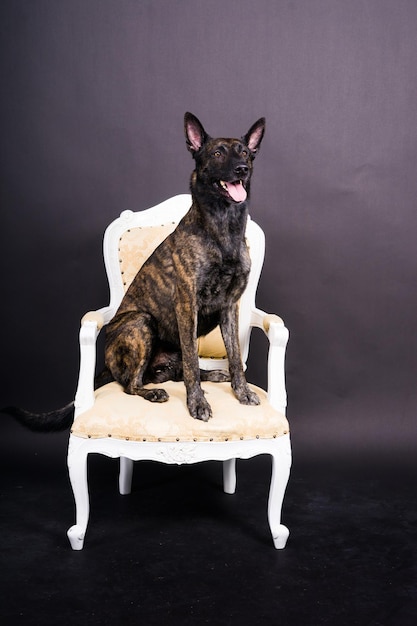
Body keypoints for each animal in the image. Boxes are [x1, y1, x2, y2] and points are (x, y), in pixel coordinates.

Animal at [0, 112, 264, 426]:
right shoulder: (187, 305)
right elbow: (191, 360)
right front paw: (197, 403)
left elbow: (234, 357)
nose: (242, 169)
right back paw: (154, 392)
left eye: (245, 153)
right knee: (133, 384)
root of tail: (105, 363)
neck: (224, 228)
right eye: (217, 153)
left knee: (177, 371)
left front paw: (242, 391)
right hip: (141, 323)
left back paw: (212, 374)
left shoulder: (229, 308)